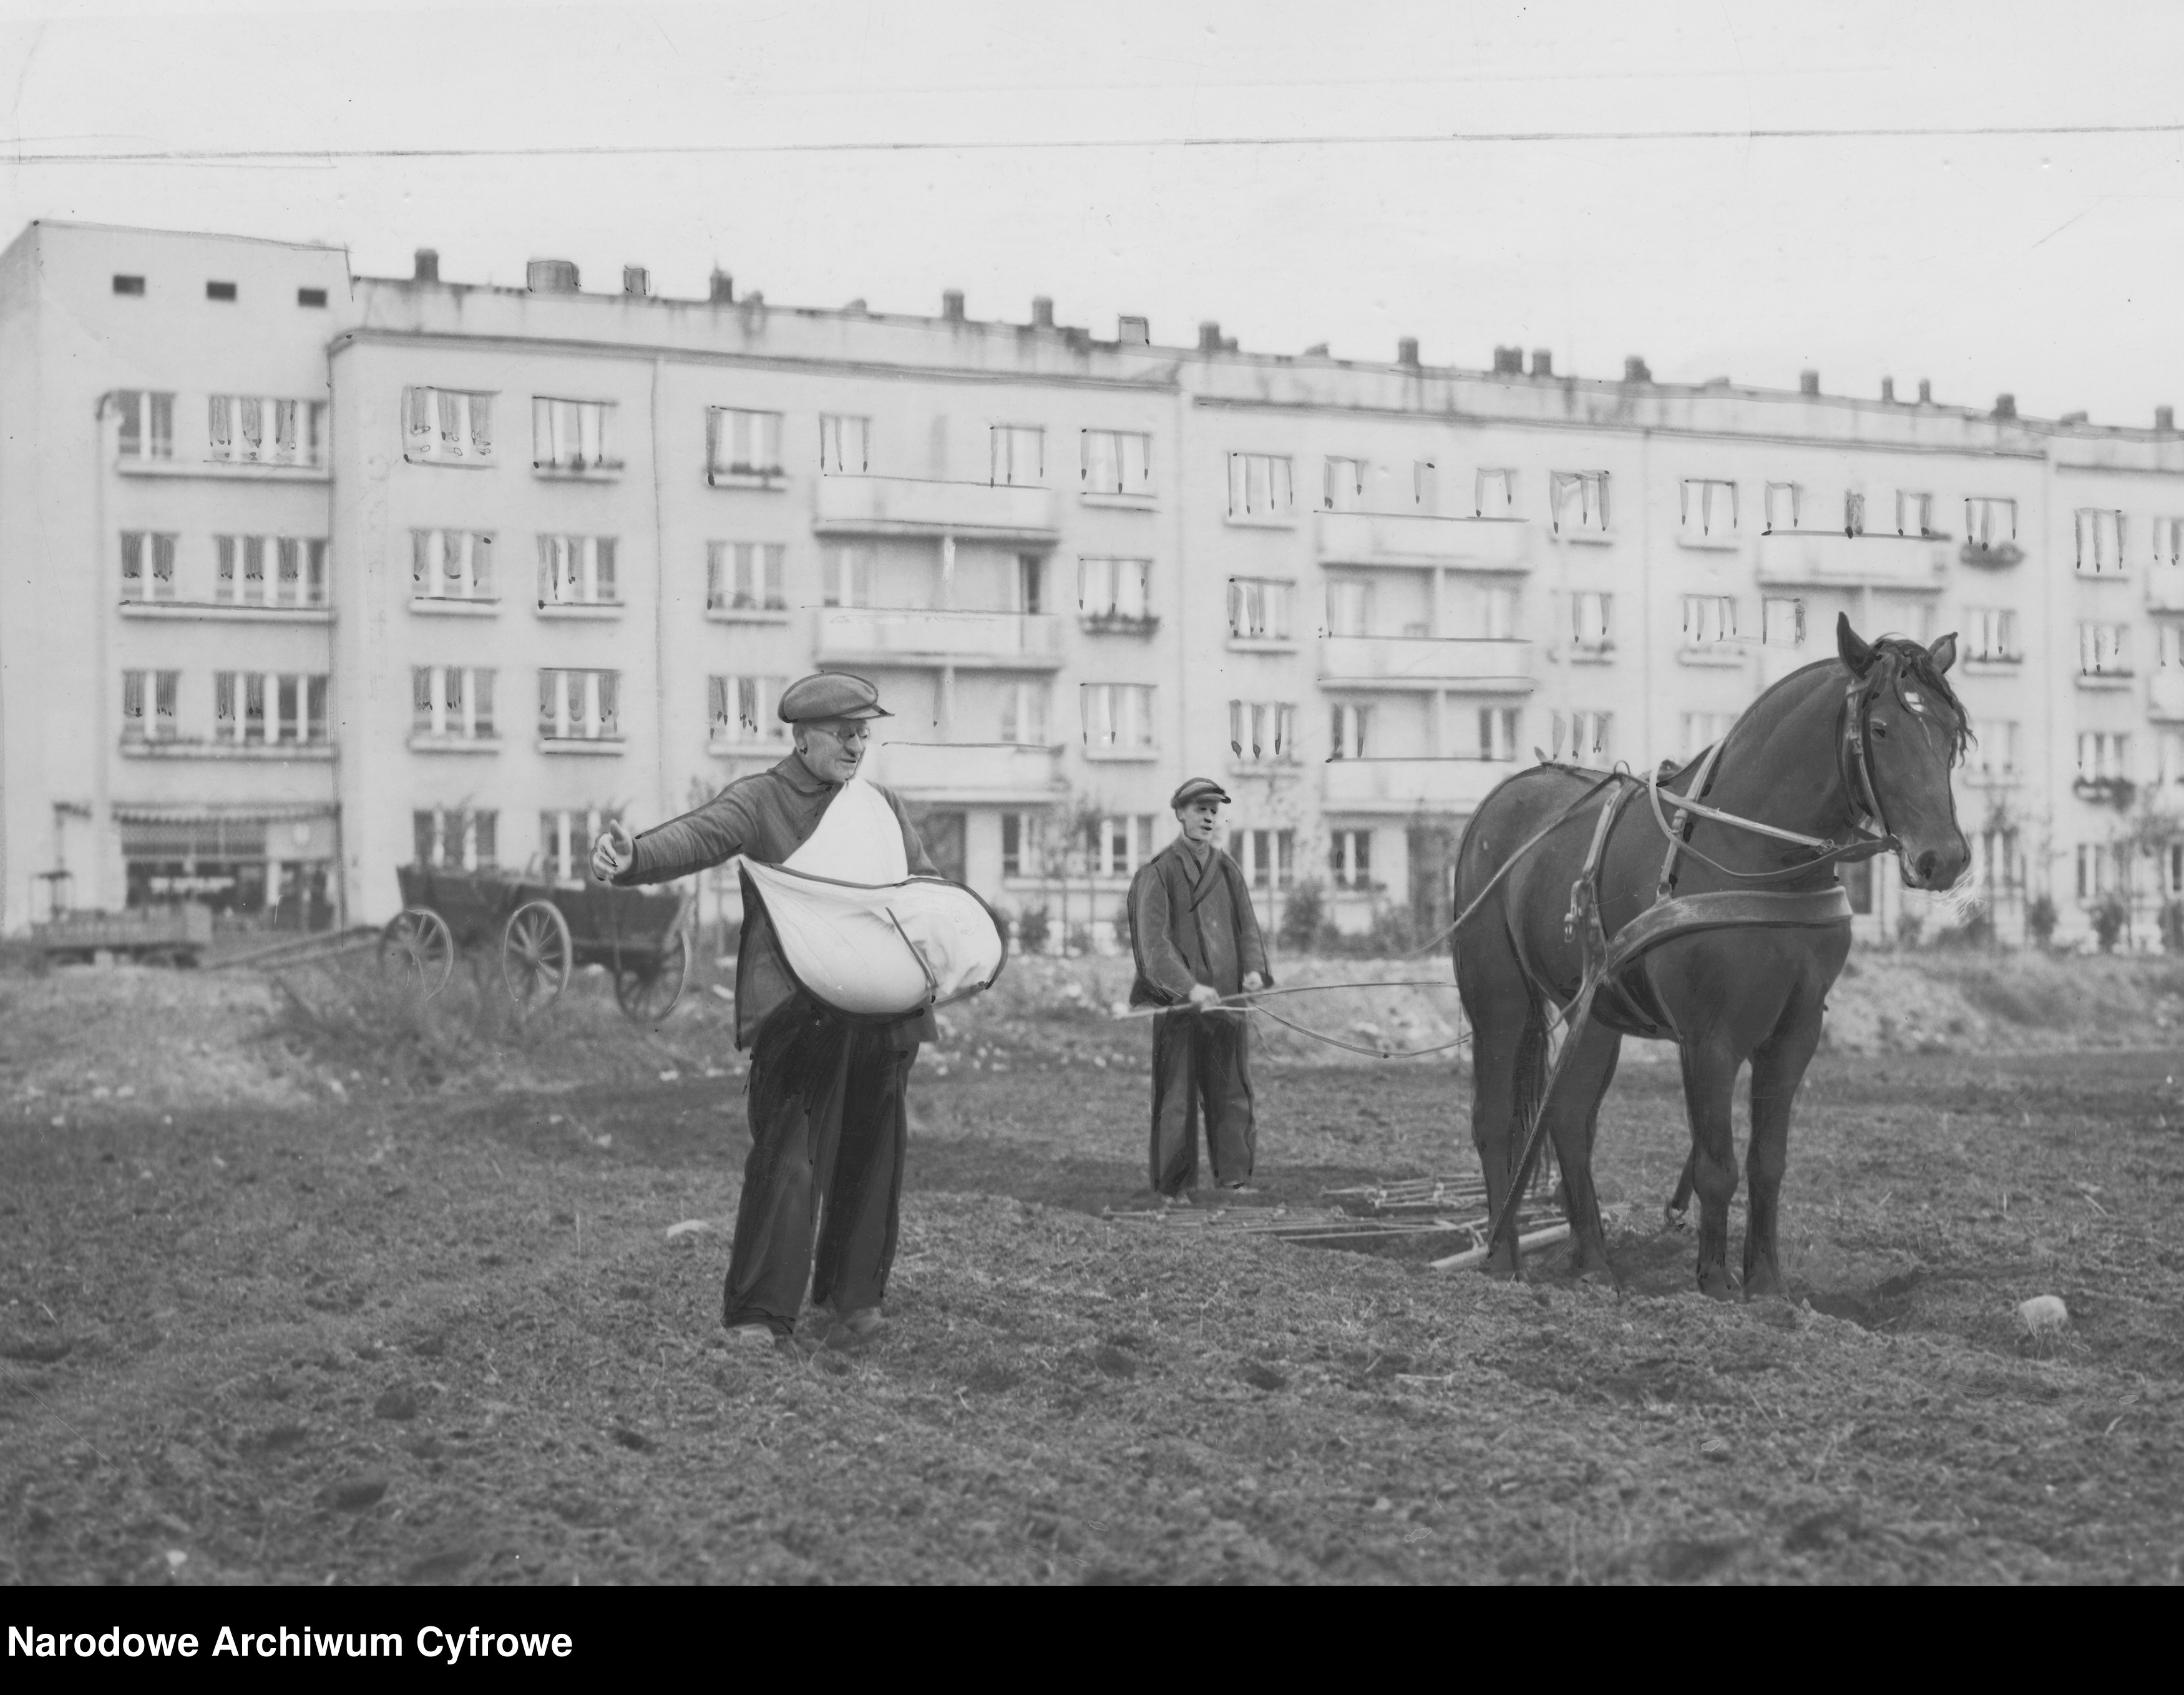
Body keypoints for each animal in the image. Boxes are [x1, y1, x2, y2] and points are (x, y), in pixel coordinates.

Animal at [1450, 620, 1983, 1302]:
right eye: (1883, 727)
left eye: (1951, 734)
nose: (1943, 858)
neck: (1759, 853)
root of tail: (1499, 801)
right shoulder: (1710, 1037)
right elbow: (1715, 1165)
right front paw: (1714, 1282)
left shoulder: (1795, 1032)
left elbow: (1767, 1161)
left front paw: (1767, 1284)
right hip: (1498, 999)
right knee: (1494, 1120)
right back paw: (1502, 1261)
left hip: (1594, 1009)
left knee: (1568, 1120)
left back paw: (1593, 1263)